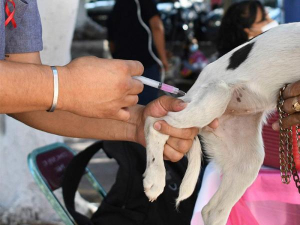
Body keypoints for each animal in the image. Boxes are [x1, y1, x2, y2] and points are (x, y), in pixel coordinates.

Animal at [142, 22, 300, 224]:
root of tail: (189, 93)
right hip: (216, 95)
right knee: (154, 121)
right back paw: (155, 178)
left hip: (246, 161)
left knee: (212, 210)